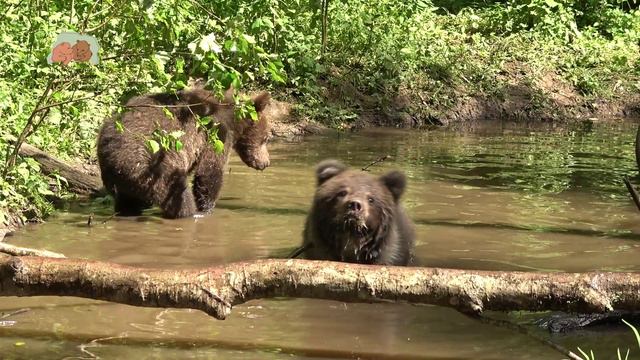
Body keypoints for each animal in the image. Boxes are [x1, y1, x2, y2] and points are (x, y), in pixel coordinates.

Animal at [97, 87, 270, 218]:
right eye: (266, 138)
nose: (266, 163)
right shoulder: (216, 133)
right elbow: (209, 171)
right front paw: (206, 208)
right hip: (153, 168)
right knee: (178, 195)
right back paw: (189, 212)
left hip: (124, 180)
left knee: (127, 203)